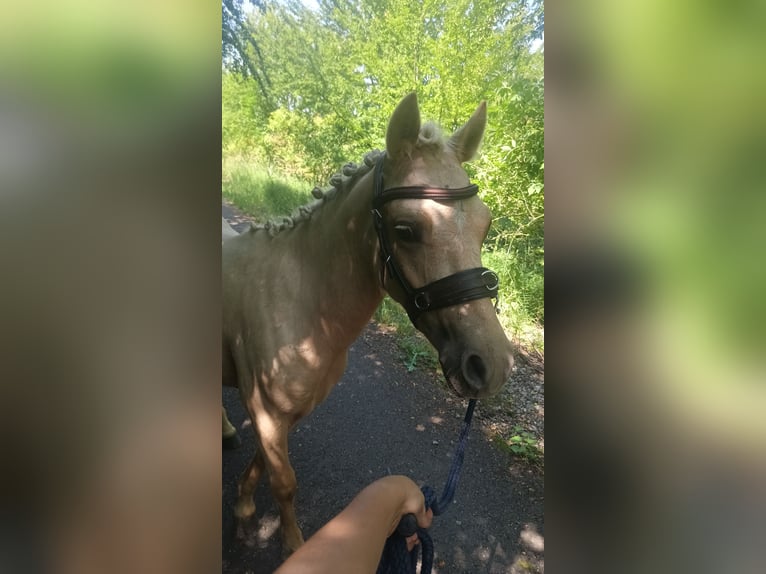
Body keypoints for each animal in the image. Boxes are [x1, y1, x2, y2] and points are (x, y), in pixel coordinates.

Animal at [222, 92, 515, 557]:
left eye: (484, 224)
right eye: (405, 229)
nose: (493, 365)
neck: (302, 304)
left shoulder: (287, 413)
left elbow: (261, 465)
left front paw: (244, 508)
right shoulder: (266, 412)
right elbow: (284, 483)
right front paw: (291, 545)